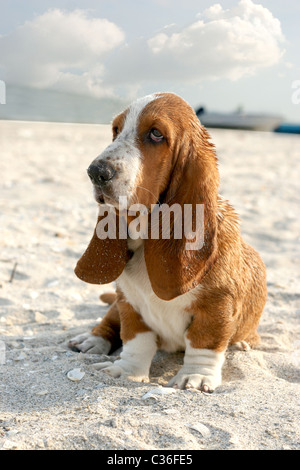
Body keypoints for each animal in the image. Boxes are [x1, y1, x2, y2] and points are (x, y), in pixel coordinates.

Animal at [68, 92, 268, 392]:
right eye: (115, 129)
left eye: (156, 134)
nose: (95, 171)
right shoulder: (128, 303)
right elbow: (135, 340)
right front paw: (126, 371)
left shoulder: (218, 306)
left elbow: (204, 341)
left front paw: (195, 377)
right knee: (109, 321)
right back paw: (92, 339)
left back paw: (243, 343)